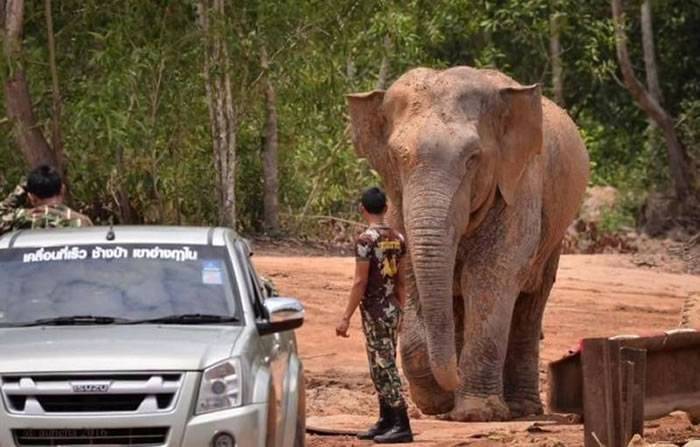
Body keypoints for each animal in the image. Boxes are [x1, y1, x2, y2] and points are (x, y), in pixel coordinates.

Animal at [348, 65, 588, 422]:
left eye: (473, 158)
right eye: (395, 157)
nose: (455, 378)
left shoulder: (517, 188)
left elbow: (490, 278)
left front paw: (477, 413)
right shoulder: (398, 204)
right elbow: (411, 275)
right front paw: (438, 405)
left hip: (554, 234)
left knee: (531, 301)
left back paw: (521, 408)